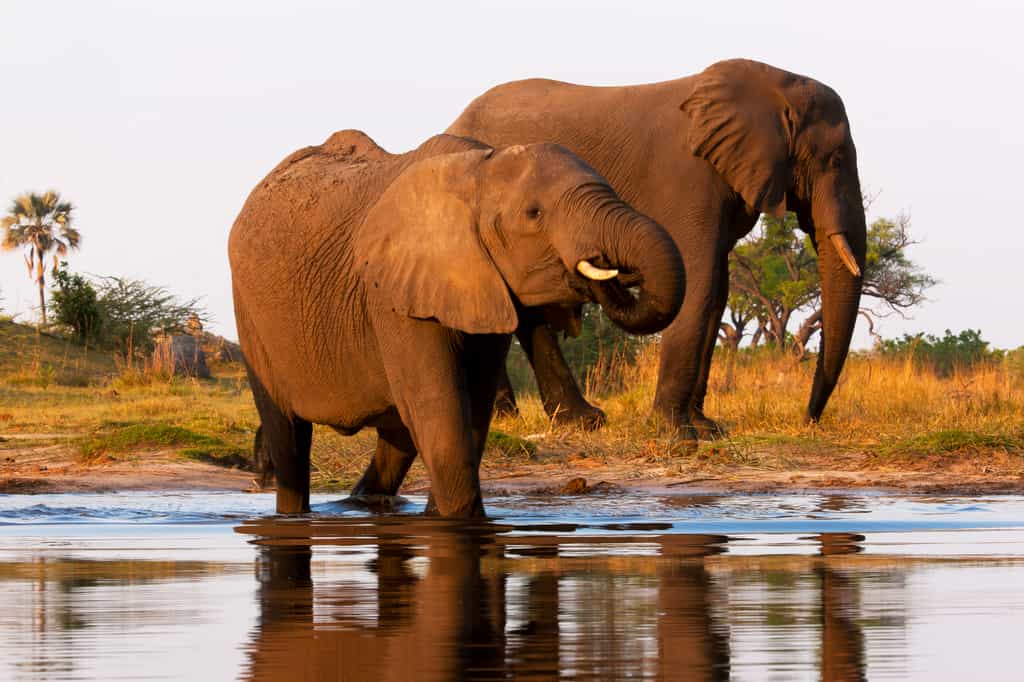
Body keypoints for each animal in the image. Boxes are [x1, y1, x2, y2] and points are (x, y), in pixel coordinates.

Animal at [229, 130, 684, 516]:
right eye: (534, 214)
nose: (604, 269)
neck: (478, 170)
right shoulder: (394, 297)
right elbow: (440, 413)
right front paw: (461, 523)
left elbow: (471, 411)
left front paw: (440, 519)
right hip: (250, 316)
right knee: (288, 438)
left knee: (396, 440)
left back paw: (364, 505)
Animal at [447, 58, 866, 437]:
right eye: (836, 159)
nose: (808, 419)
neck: (773, 83)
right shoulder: (690, 178)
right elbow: (700, 282)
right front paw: (676, 431)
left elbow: (717, 292)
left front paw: (707, 429)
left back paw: (513, 417)